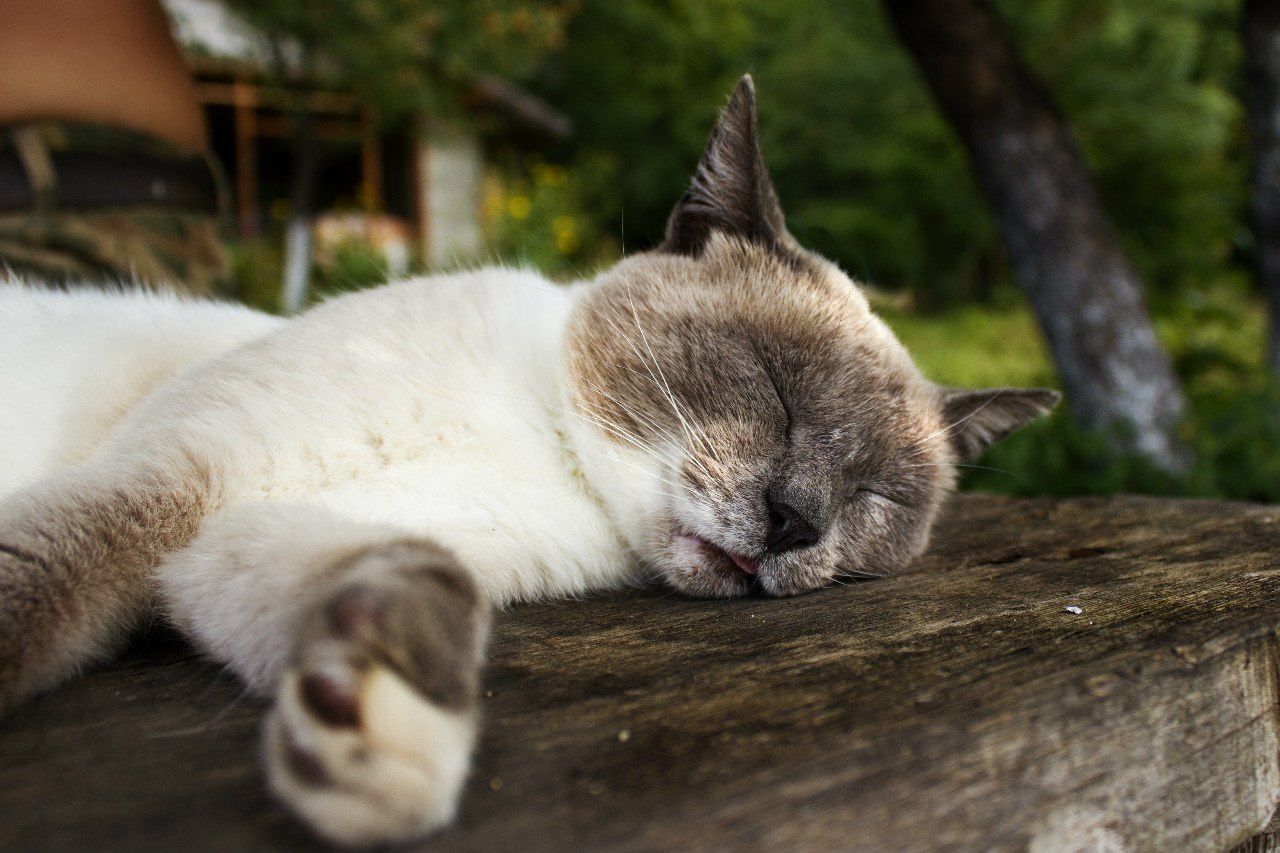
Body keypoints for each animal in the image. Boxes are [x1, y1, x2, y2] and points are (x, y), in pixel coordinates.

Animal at [0, 74, 1054, 845]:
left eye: (875, 496)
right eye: (775, 386)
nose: (797, 520)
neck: (549, 452)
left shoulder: (230, 537)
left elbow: (419, 586)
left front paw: (374, 739)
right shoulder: (176, 482)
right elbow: (38, 585)